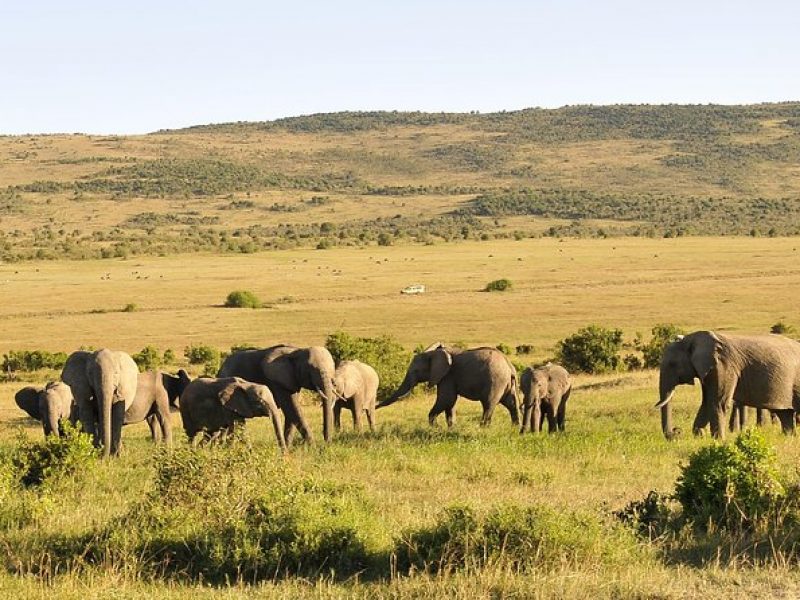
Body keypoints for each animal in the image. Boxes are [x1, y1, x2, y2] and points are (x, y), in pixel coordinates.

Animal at [380, 342, 520, 426]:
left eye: (416, 371)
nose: (375, 406)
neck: (433, 354)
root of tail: (510, 368)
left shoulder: (447, 376)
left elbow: (446, 399)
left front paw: (435, 428)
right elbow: (450, 403)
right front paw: (450, 429)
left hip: (495, 381)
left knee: (488, 405)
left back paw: (483, 428)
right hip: (507, 384)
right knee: (512, 404)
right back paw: (515, 428)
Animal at [656, 328, 800, 440]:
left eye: (672, 364)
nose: (676, 432)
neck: (691, 339)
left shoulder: (723, 366)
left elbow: (718, 403)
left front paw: (718, 441)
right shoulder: (709, 370)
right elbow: (707, 402)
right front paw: (700, 436)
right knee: (785, 414)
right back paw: (789, 438)